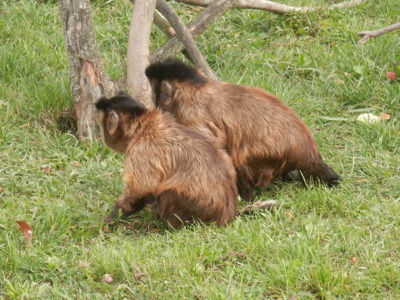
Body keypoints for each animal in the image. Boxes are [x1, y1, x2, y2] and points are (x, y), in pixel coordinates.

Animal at [95, 92, 239, 227]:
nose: (105, 139)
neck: (143, 128)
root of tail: (225, 217)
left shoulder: (141, 150)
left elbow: (141, 190)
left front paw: (110, 220)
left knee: (167, 192)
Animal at [145, 58, 342, 202]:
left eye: (154, 92)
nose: (153, 100)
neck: (195, 90)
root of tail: (310, 153)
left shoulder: (191, 116)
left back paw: (247, 195)